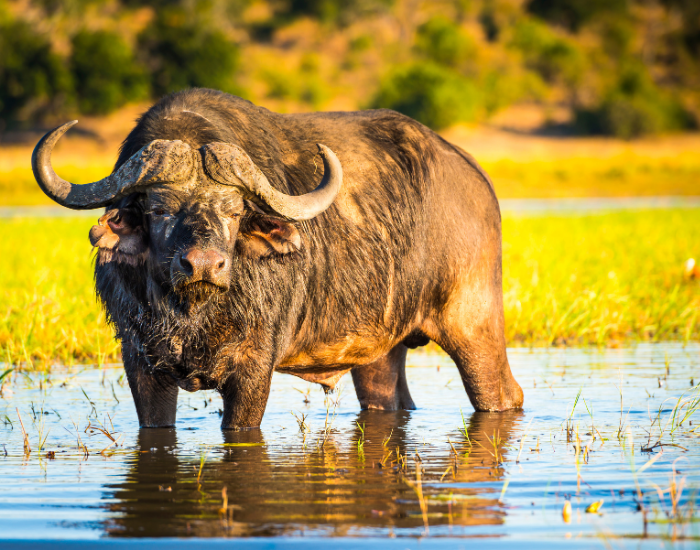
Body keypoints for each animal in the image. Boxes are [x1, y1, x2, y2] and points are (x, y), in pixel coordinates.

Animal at [32, 88, 523, 429]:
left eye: (233, 211)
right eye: (158, 209)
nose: (204, 265)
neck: (194, 314)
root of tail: (474, 177)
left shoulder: (253, 370)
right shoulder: (141, 365)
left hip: (474, 326)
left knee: (503, 393)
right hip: (380, 352)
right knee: (389, 399)